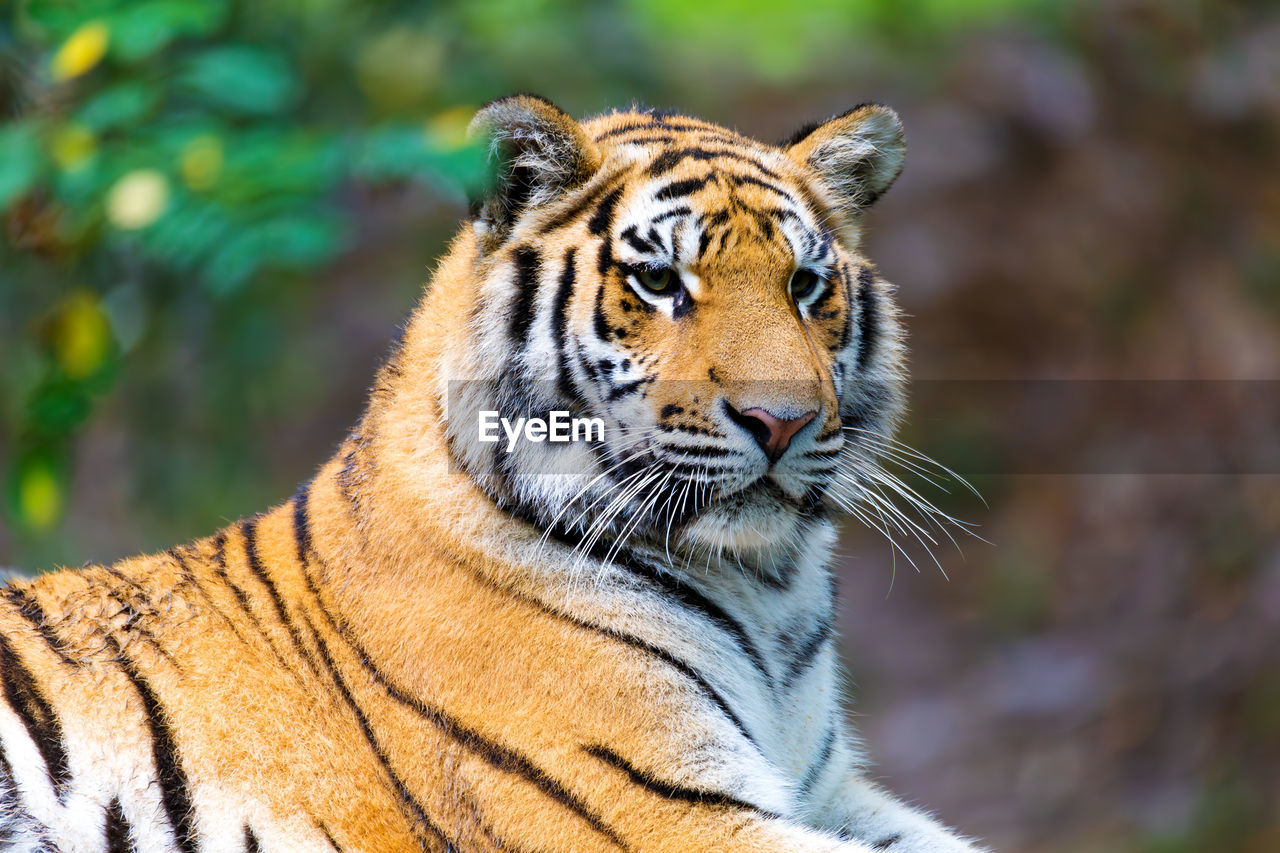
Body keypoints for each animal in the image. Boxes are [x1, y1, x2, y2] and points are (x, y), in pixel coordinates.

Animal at [0, 94, 988, 850]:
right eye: (660, 281)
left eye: (806, 286)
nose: (781, 420)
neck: (766, 590)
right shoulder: (660, 806)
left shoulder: (828, 790)